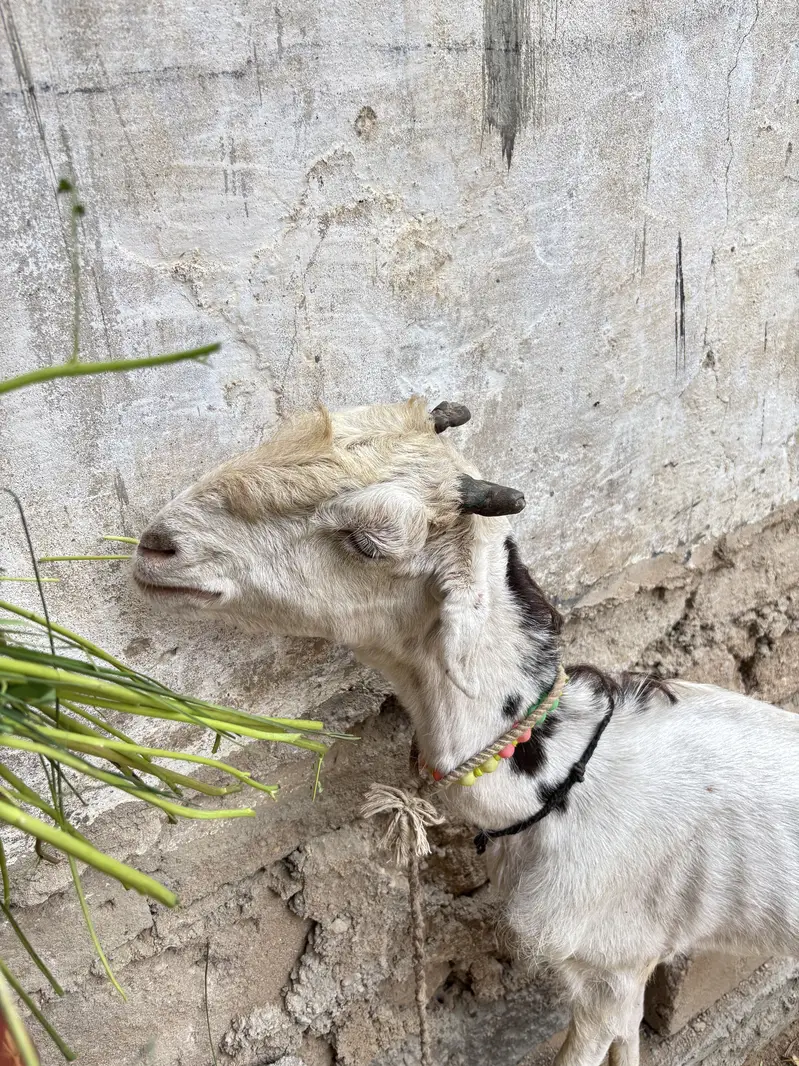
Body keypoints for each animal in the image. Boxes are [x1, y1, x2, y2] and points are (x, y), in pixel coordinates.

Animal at [133, 399, 799, 1066]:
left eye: (369, 539)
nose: (157, 546)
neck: (564, 775)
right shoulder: (623, 973)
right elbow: (628, 1047)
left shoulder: (612, 965)